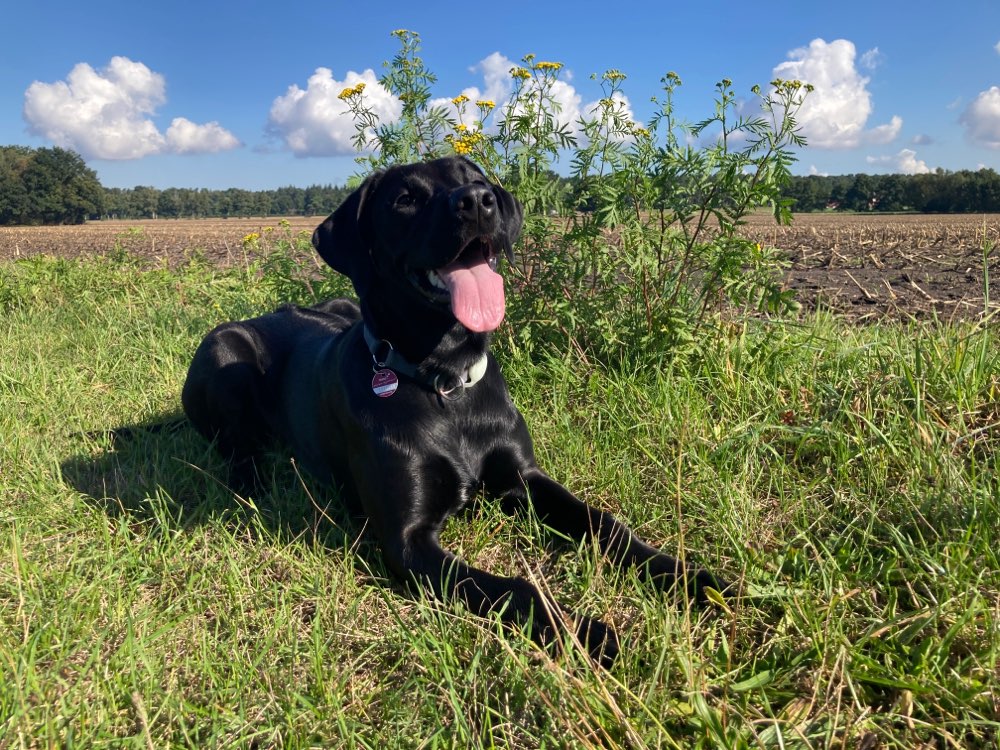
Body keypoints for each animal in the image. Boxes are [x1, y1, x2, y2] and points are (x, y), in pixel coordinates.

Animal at [182, 157, 728, 664]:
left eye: (476, 178)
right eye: (405, 199)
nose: (477, 202)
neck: (445, 382)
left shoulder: (522, 478)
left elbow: (605, 524)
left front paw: (694, 580)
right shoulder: (408, 541)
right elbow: (517, 589)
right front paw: (588, 634)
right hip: (224, 352)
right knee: (236, 447)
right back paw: (252, 483)